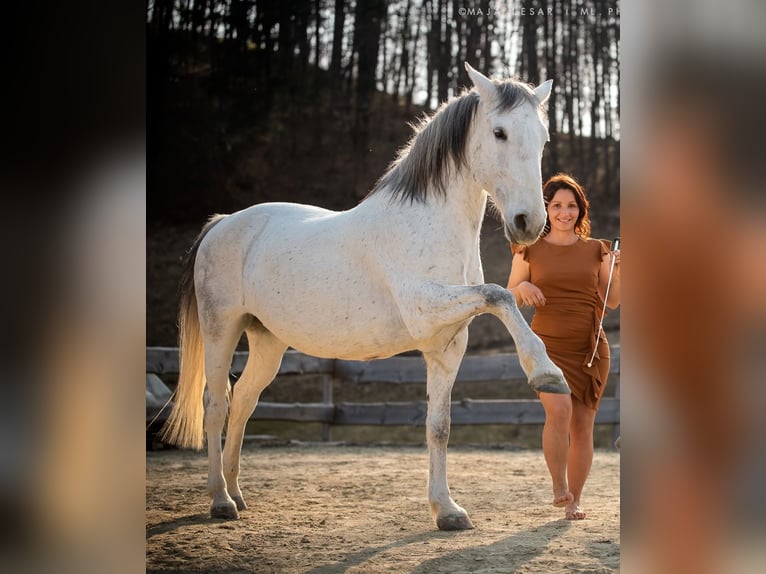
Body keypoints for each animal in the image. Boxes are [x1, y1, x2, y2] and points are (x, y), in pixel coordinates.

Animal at [162, 62, 568, 532]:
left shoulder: (446, 346)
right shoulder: (426, 308)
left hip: (267, 341)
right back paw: (220, 500)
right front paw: (546, 372)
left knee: (243, 401)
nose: (528, 223)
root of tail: (223, 222)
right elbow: (500, 295)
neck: (428, 222)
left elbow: (439, 426)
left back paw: (238, 493)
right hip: (221, 330)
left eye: (543, 138)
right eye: (500, 132)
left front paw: (447, 511)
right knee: (215, 404)